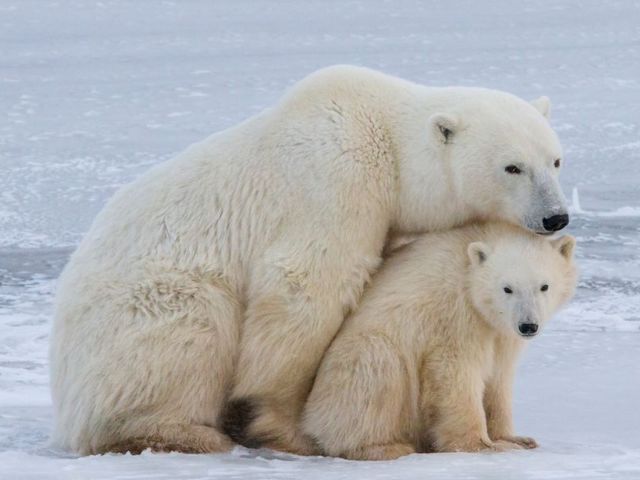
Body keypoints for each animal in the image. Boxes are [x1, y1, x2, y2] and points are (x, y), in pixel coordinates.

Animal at [302, 222, 576, 462]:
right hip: (354, 366)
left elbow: (499, 378)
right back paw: (385, 447)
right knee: (378, 372)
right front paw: (482, 445)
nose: (528, 326)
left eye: (544, 286)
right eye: (507, 288)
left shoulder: (501, 333)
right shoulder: (456, 315)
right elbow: (455, 373)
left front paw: (515, 439)